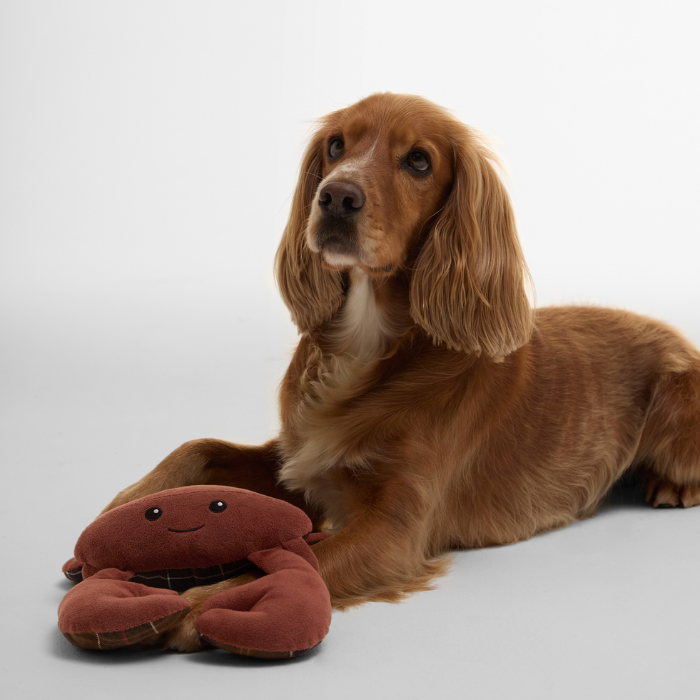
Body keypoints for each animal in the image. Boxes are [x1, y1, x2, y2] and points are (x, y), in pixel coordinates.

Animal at [102, 93, 700, 652]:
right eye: (336, 146)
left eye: (418, 160)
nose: (336, 196)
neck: (367, 345)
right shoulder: (300, 458)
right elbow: (198, 446)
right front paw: (122, 507)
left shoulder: (396, 529)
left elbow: (298, 563)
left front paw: (198, 604)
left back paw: (668, 485)